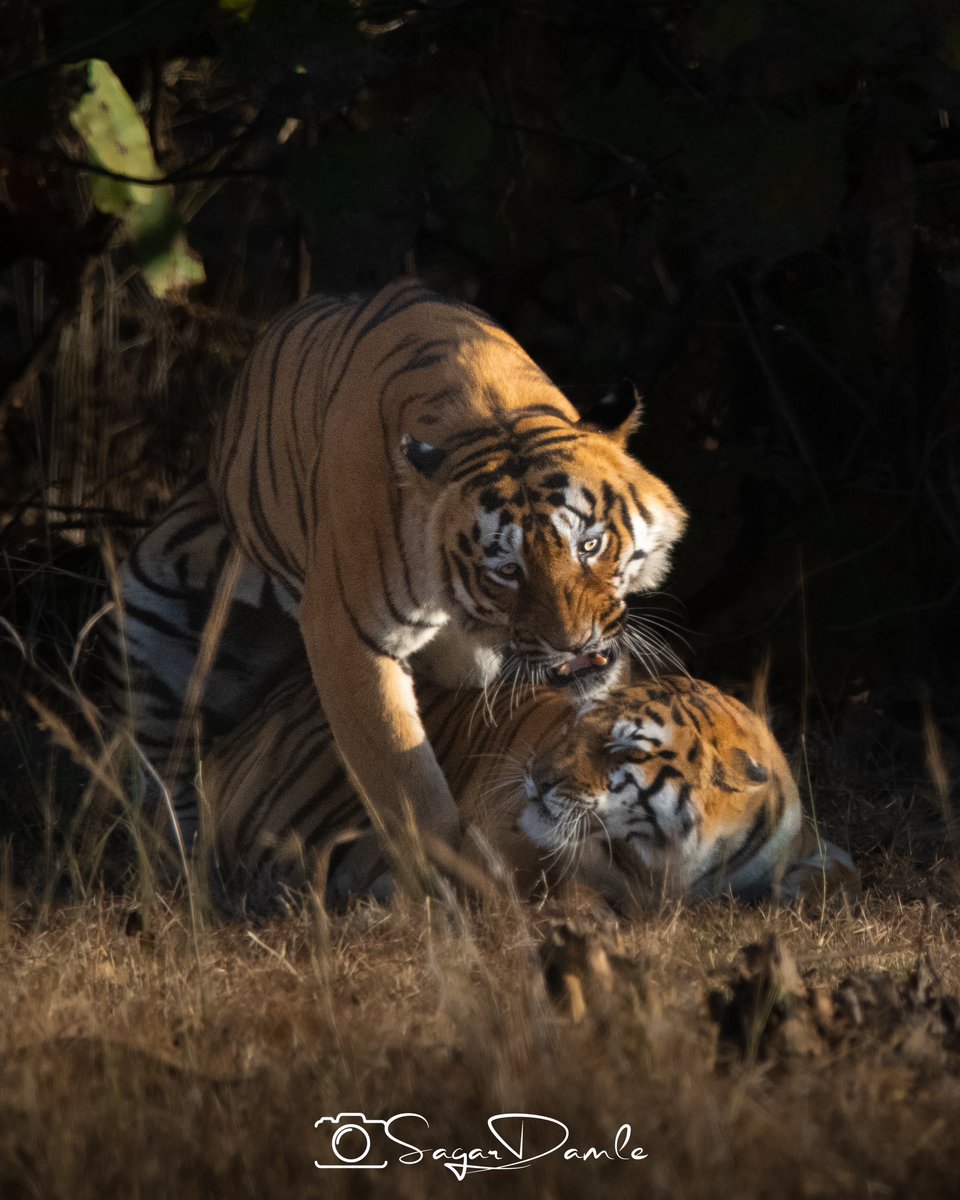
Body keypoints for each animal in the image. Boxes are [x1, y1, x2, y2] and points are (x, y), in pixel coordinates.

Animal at [109, 279, 687, 856]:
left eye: (589, 545)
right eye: (506, 570)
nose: (574, 643)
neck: (494, 410)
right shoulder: (347, 637)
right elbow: (407, 785)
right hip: (156, 626)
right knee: (167, 784)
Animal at [204, 667, 858, 914]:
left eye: (623, 750)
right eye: (576, 724)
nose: (535, 777)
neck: (675, 864)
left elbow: (840, 874)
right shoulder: (492, 839)